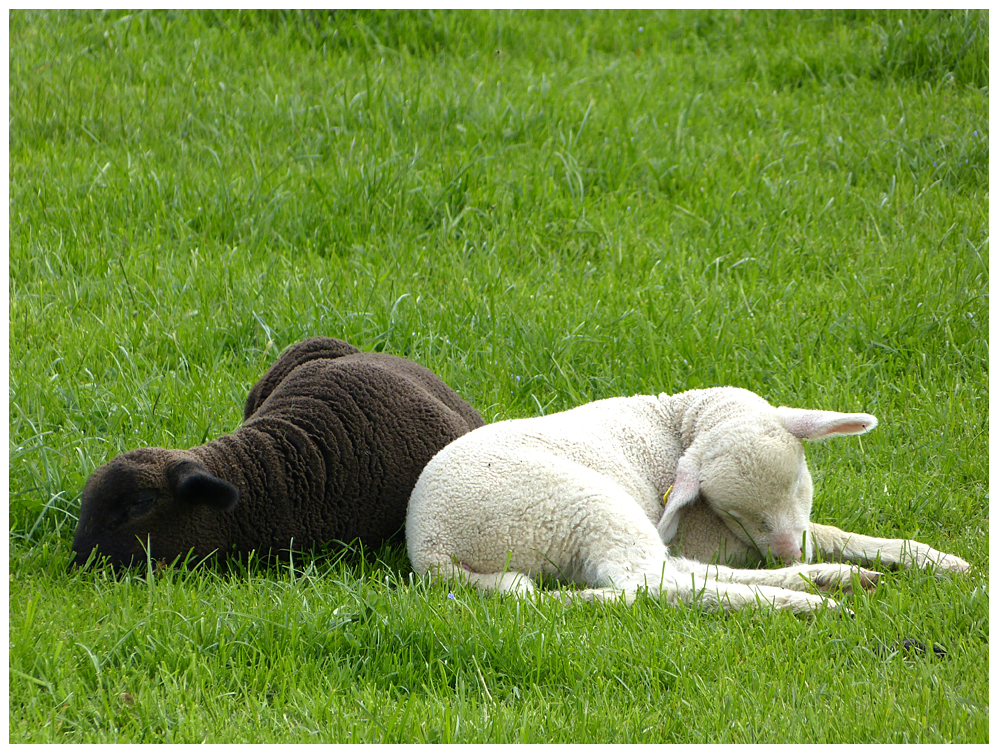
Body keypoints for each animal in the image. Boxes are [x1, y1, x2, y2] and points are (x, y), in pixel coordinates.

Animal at [406, 384, 968, 612]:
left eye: (800, 483)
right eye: (735, 512)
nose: (786, 552)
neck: (679, 420)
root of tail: (432, 549)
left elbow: (833, 532)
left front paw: (933, 559)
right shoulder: (711, 534)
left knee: (676, 572)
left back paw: (827, 578)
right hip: (578, 506)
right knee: (655, 584)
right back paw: (804, 600)